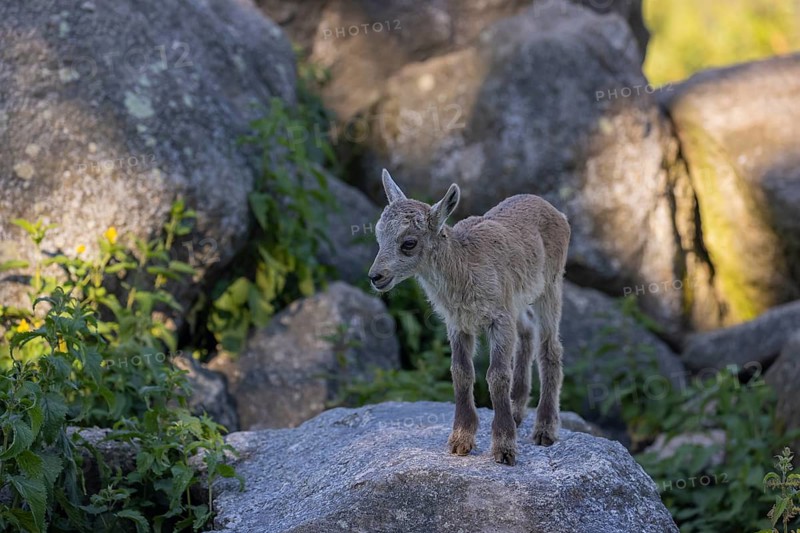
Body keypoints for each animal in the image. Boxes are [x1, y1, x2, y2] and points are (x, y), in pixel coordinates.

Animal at [368, 169, 570, 465]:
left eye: (409, 243)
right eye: (378, 235)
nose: (376, 276)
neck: (464, 267)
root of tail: (556, 212)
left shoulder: (498, 318)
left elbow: (497, 375)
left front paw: (504, 448)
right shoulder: (458, 323)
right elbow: (461, 372)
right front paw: (460, 440)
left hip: (551, 285)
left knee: (550, 348)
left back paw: (544, 429)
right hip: (518, 300)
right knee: (527, 333)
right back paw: (517, 410)